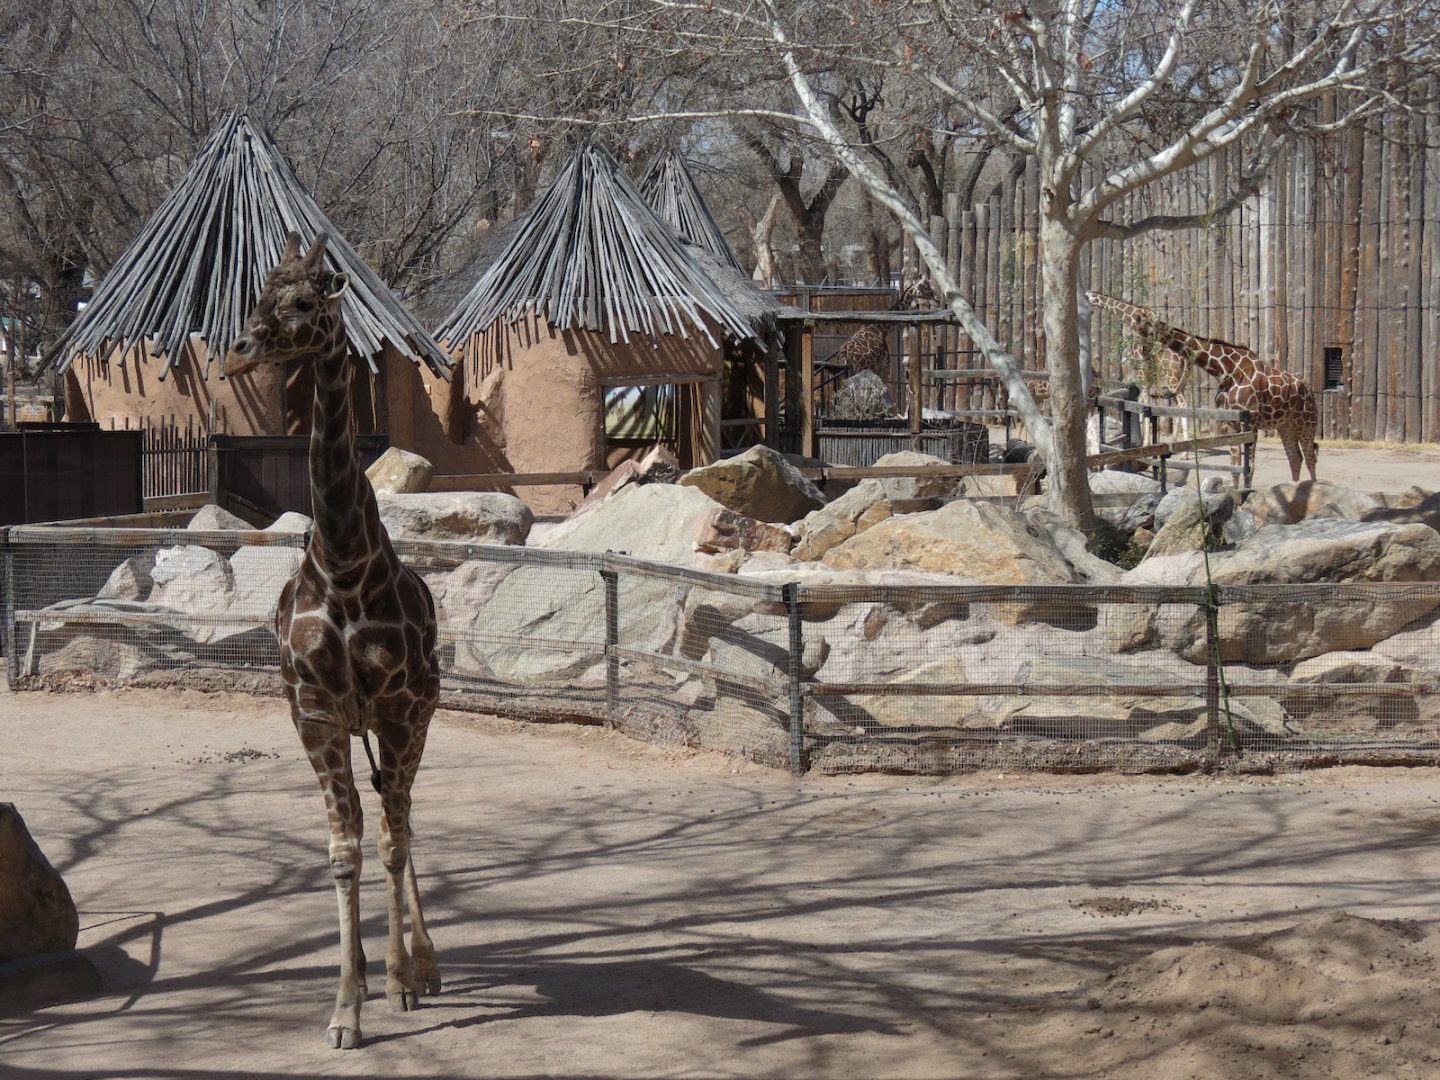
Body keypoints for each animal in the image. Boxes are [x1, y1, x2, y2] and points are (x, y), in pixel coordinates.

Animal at [223, 232, 441, 1049]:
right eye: (256, 294)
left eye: (302, 302)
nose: (238, 353)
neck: (346, 562)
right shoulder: (314, 713)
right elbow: (344, 853)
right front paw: (346, 1009)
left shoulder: (400, 711)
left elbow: (388, 842)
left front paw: (398, 982)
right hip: (362, 724)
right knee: (391, 816)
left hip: (411, 716)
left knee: (403, 820)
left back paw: (420, 969)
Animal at [1087, 292, 1319, 482]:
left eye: (1143, 319)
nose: (1145, 349)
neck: (1226, 370)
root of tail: (1309, 389)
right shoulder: (1231, 423)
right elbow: (1235, 469)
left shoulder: (1250, 422)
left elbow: (1249, 469)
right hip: (1285, 425)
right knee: (1296, 458)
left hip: (1306, 422)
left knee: (1309, 457)